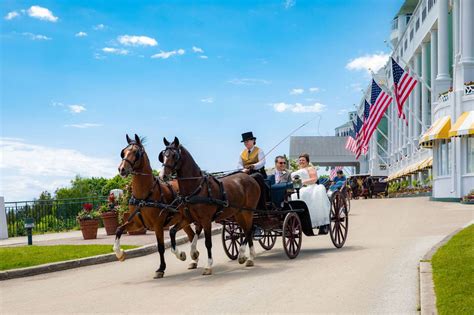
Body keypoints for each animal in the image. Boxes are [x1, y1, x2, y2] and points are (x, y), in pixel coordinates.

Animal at [115, 133, 203, 278]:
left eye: (136, 152)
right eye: (124, 152)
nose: (122, 169)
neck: (145, 195)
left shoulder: (158, 225)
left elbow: (160, 247)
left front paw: (162, 268)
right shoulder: (137, 223)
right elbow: (119, 229)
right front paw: (120, 253)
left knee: (197, 230)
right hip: (183, 220)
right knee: (190, 235)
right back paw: (194, 260)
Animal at [161, 137, 262, 276]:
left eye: (174, 155)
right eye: (163, 155)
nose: (163, 175)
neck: (197, 187)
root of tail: (250, 177)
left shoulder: (206, 219)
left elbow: (207, 242)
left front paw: (208, 266)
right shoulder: (189, 218)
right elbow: (174, 232)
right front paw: (185, 254)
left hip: (248, 211)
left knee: (249, 230)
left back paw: (248, 256)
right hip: (238, 213)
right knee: (246, 230)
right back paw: (245, 256)